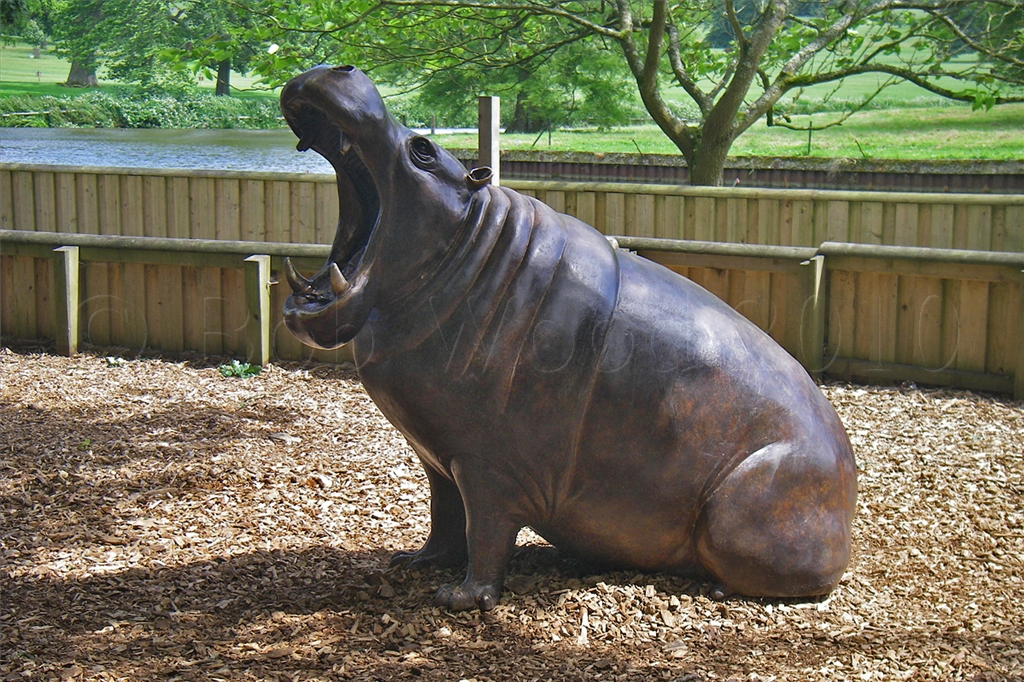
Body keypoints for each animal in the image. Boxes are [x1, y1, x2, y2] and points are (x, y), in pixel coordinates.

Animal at [280, 65, 857, 612]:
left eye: (423, 148)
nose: (341, 68)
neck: (467, 244)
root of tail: (849, 499)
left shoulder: (488, 466)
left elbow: (484, 530)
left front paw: (460, 598)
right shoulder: (437, 456)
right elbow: (444, 516)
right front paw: (416, 562)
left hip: (746, 507)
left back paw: (716, 590)